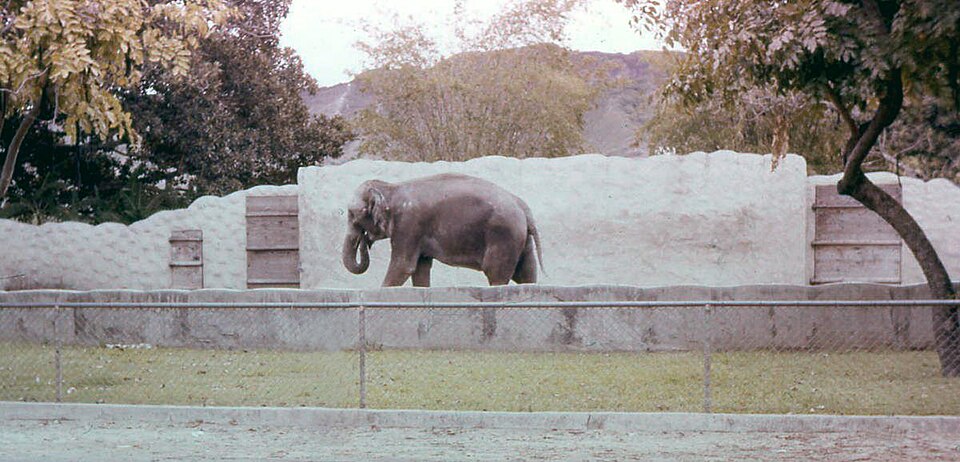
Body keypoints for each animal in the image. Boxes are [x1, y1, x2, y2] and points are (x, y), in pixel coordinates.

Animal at [341, 173, 544, 287]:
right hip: (521, 238)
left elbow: (403, 266)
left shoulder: (409, 224)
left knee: (496, 273)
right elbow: (420, 269)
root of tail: (523, 207)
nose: (365, 241)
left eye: (352, 214)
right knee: (526, 273)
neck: (391, 187)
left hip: (503, 235)